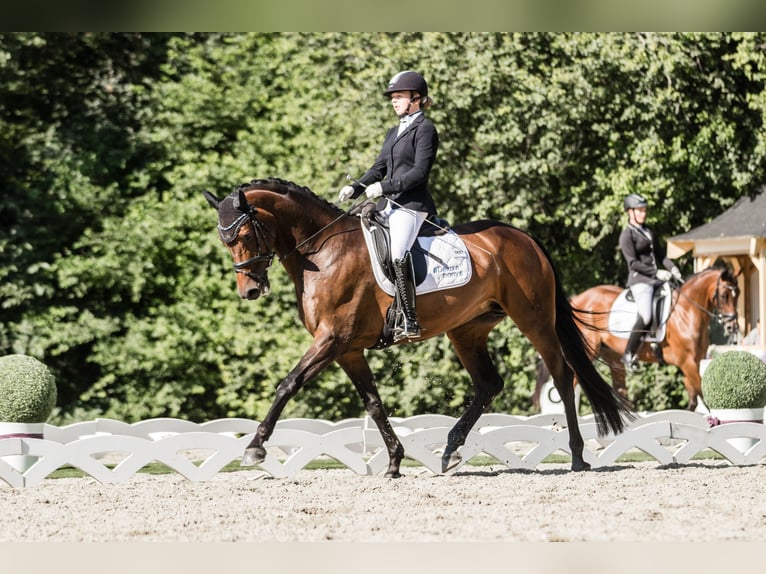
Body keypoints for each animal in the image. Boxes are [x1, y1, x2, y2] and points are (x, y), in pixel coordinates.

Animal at [204, 179, 636, 476]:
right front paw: (394, 462)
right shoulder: (347, 349)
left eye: (244, 234)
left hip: (534, 319)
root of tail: (523, 236)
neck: (323, 252)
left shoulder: (332, 340)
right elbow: (374, 403)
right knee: (489, 384)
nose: (250, 290)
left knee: (562, 376)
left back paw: (577, 455)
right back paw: (450, 450)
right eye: (224, 240)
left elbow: (288, 384)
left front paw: (255, 447)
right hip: (467, 330)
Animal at [536, 270, 740, 414]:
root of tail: (577, 299)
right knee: (571, 383)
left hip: (612, 356)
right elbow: (701, 394)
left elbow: (693, 399)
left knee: (620, 390)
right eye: (724, 295)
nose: (732, 327)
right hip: (587, 352)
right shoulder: (687, 362)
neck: (686, 312)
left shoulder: (695, 361)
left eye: (737, 294)